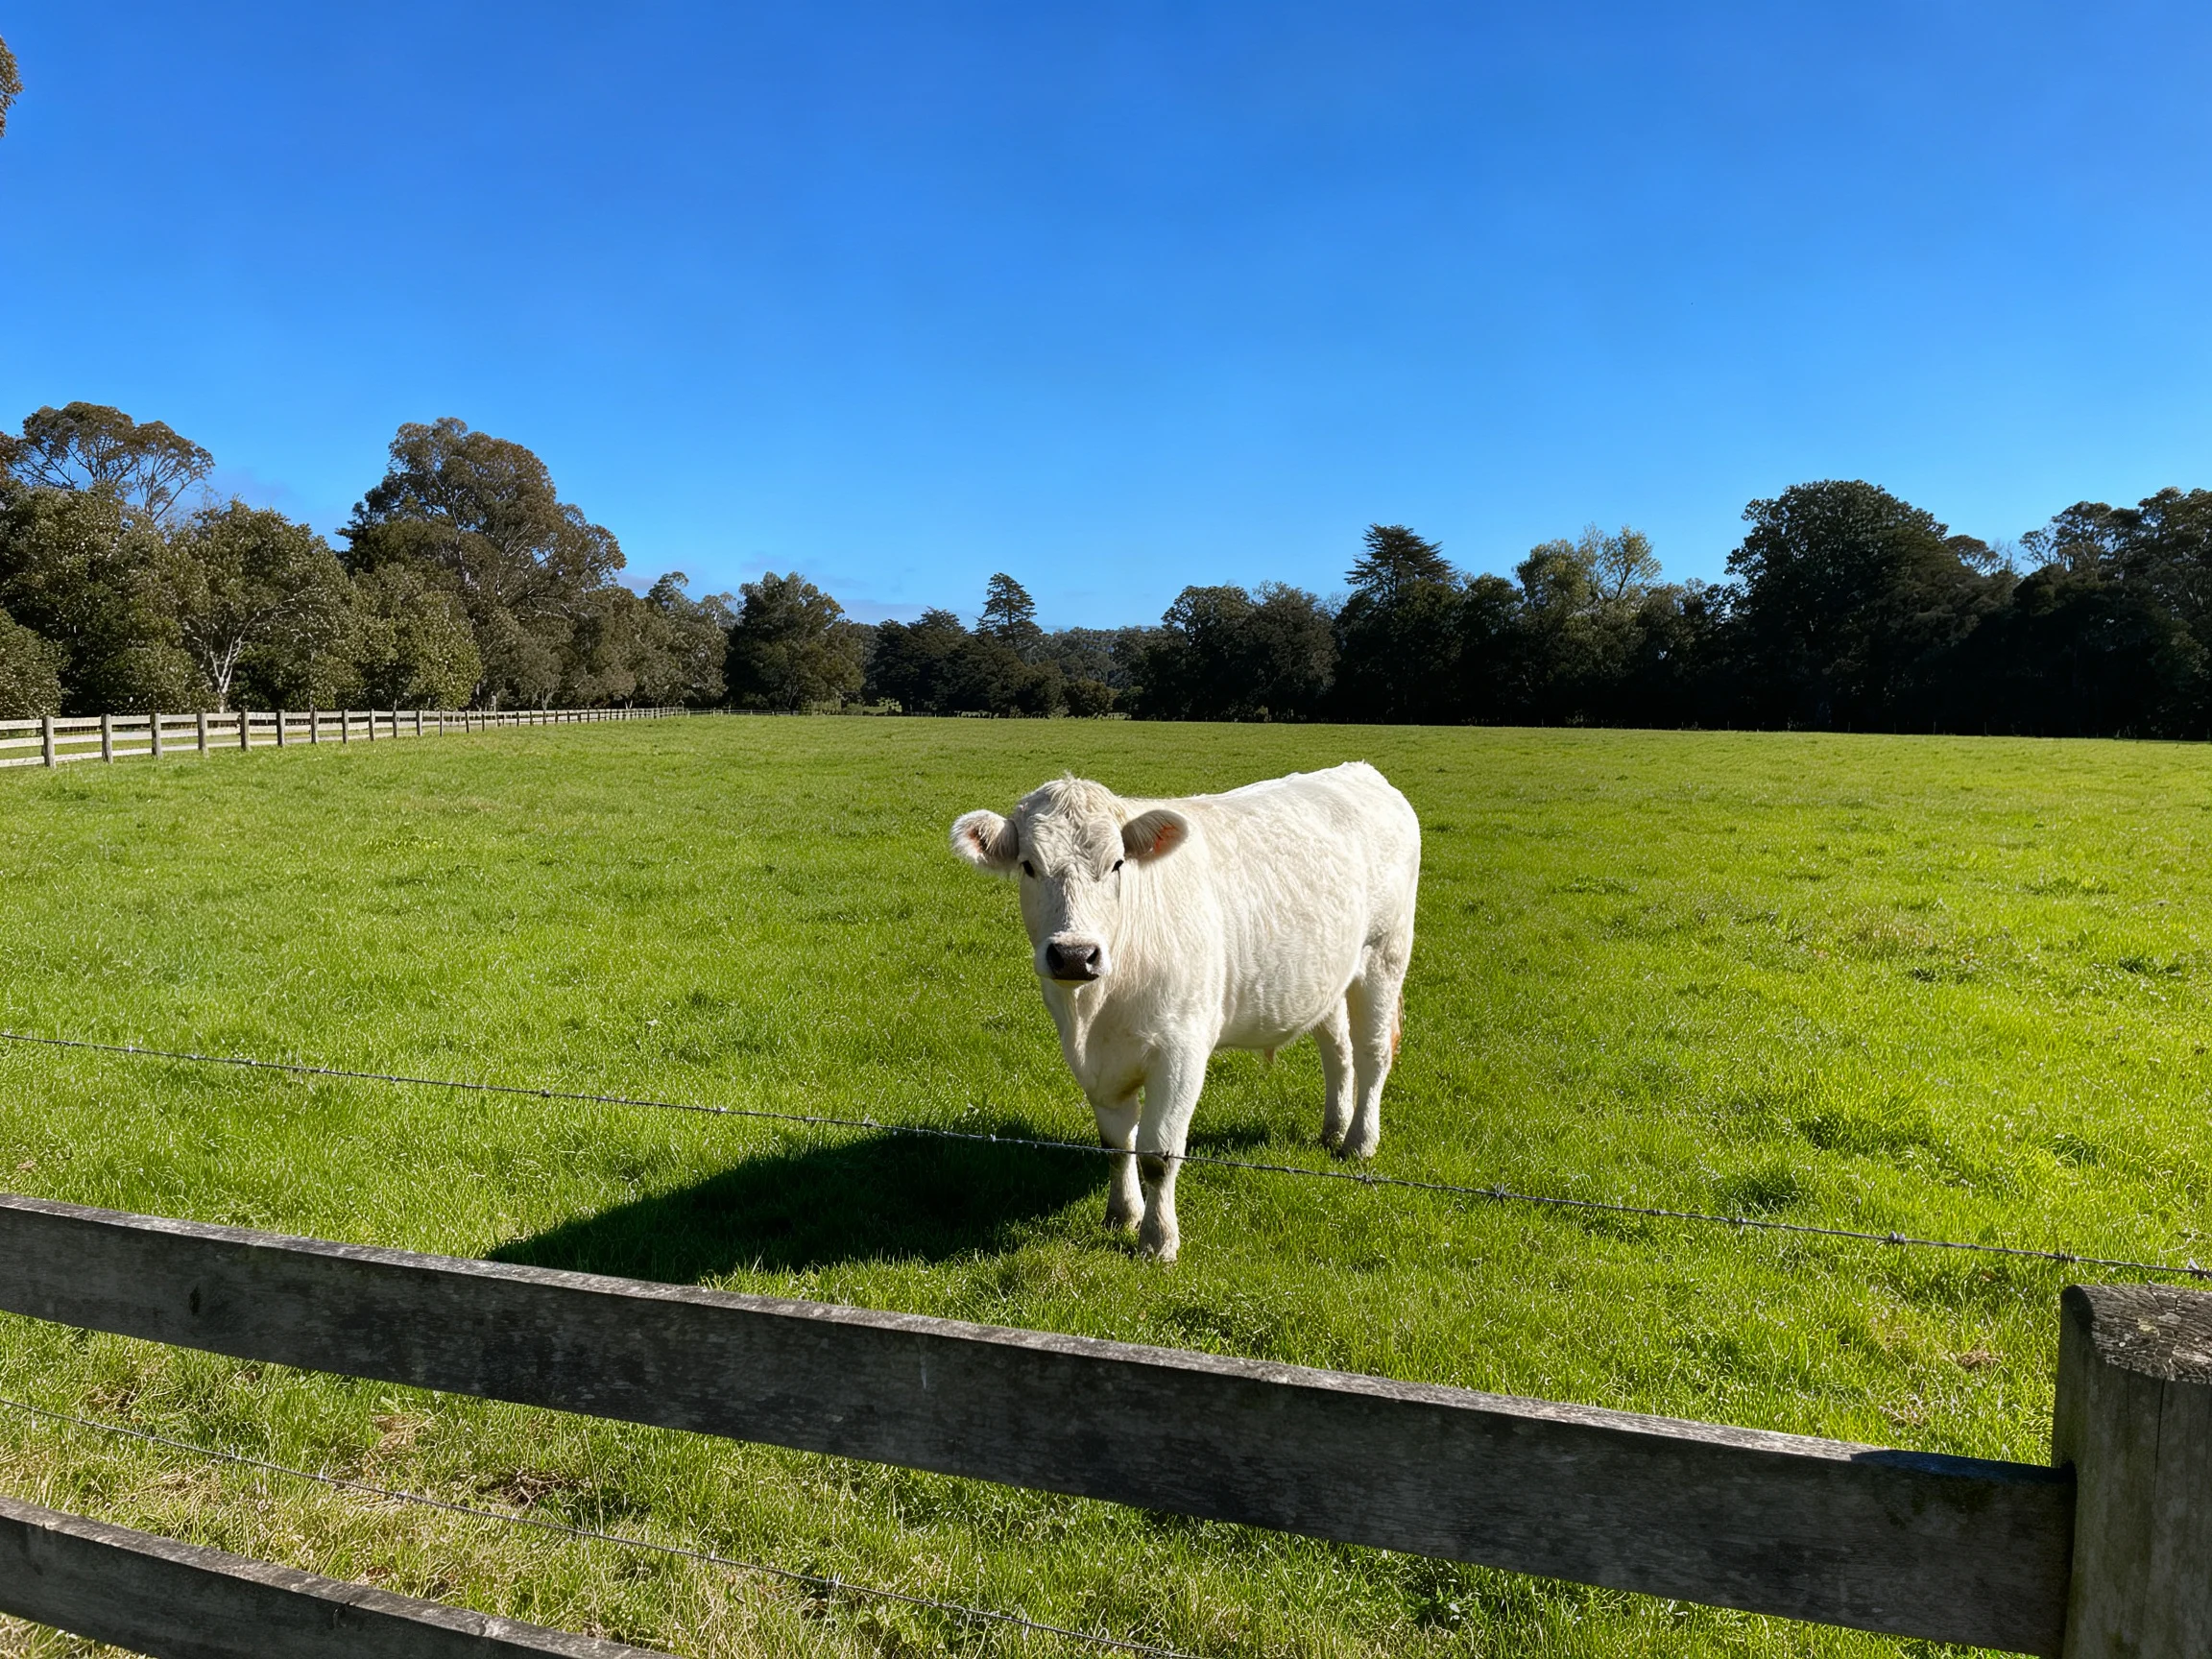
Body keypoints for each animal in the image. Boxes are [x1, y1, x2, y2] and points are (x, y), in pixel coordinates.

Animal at [950, 761, 1420, 1261]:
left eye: (1117, 864)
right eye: (1028, 865)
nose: (1075, 955)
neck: (1094, 1014)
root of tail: (1360, 772)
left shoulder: (1181, 1051)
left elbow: (1158, 1153)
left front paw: (1158, 1240)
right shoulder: (1094, 1062)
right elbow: (1116, 1143)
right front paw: (1122, 1215)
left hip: (1385, 953)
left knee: (1372, 1053)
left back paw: (1359, 1142)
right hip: (1326, 977)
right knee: (1338, 1051)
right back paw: (1334, 1130)